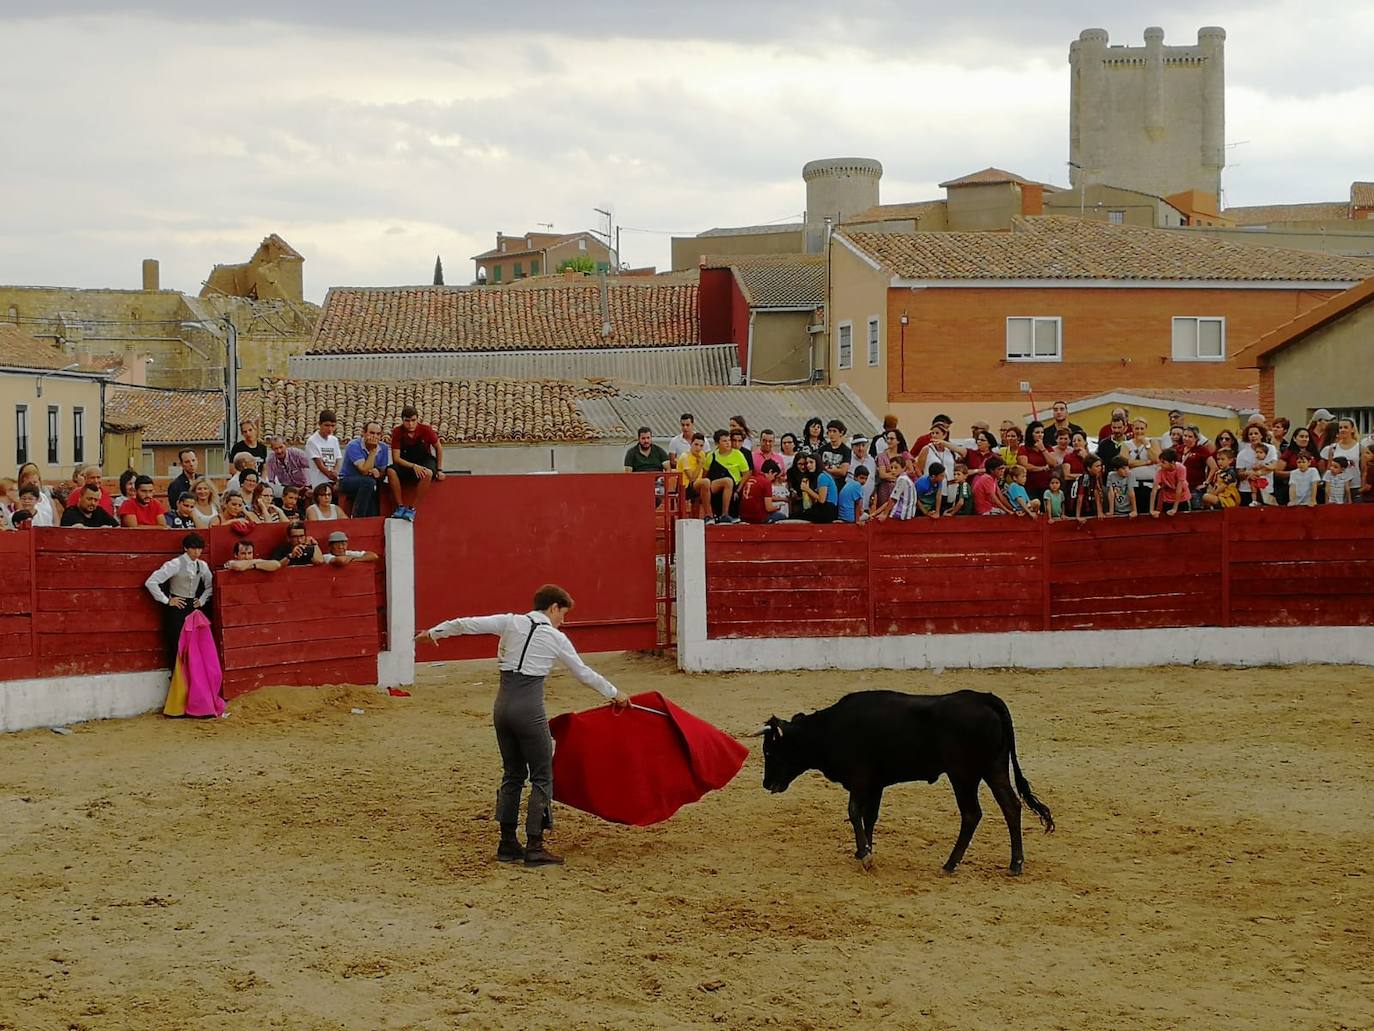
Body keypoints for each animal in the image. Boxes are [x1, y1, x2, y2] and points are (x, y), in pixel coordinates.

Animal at [758, 690, 1055, 874]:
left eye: (770, 751)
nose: (766, 784)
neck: (829, 730)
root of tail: (984, 699)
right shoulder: (875, 784)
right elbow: (869, 816)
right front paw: (864, 850)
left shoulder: (860, 780)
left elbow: (854, 813)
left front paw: (865, 855)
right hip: (994, 768)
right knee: (1010, 806)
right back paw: (1015, 864)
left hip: (963, 775)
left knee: (972, 814)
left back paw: (950, 864)